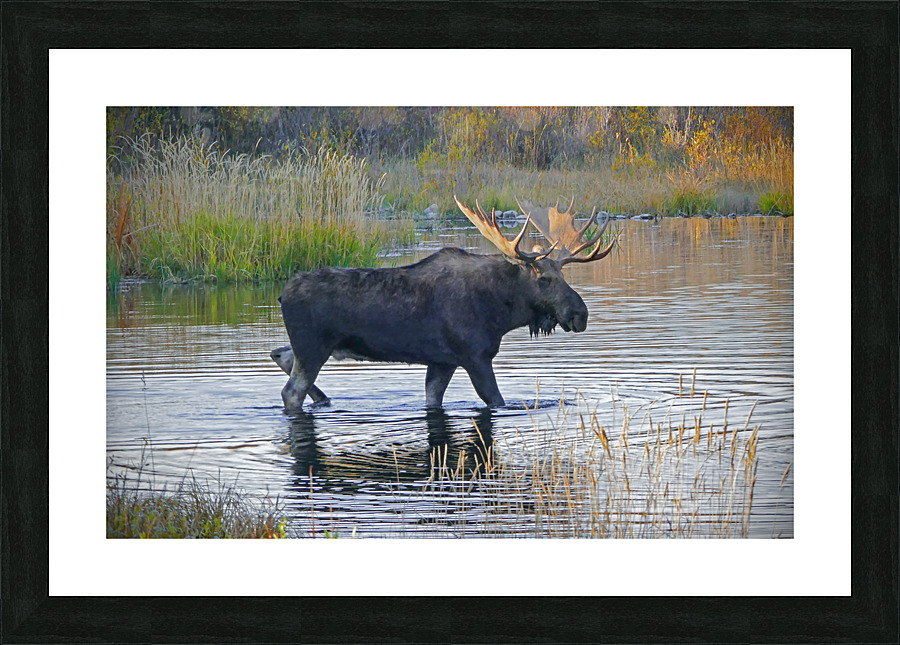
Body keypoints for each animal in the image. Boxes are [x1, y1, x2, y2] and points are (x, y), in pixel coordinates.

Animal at [275, 195, 617, 410]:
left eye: (563, 274)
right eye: (544, 279)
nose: (580, 314)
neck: (500, 312)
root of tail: (282, 294)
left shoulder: (442, 361)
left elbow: (433, 398)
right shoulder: (475, 356)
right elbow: (496, 400)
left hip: (311, 347)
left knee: (280, 354)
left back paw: (324, 399)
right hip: (314, 347)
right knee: (290, 391)